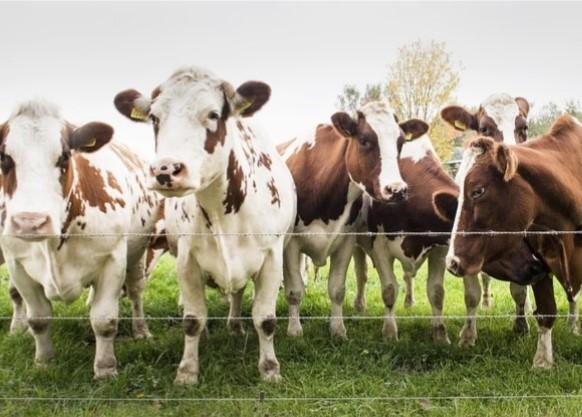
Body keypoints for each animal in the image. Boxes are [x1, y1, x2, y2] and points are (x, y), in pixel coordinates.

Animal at [0, 100, 162, 376]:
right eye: (4, 157)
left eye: (65, 156)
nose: (30, 222)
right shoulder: (17, 264)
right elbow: (38, 318)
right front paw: (44, 360)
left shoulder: (113, 259)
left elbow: (104, 320)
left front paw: (105, 368)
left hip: (138, 252)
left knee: (136, 292)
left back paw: (141, 331)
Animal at [114, 66, 296, 384]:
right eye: (154, 118)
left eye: (212, 114)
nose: (165, 169)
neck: (222, 210)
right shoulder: (187, 259)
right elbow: (192, 319)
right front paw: (187, 370)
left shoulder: (272, 257)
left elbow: (265, 319)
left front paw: (270, 368)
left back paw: (235, 325)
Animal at [280, 102, 426, 340]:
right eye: (364, 140)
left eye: (401, 143)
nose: (397, 190)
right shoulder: (291, 243)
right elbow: (294, 290)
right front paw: (294, 330)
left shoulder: (346, 240)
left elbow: (337, 289)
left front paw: (338, 329)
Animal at [356, 132, 456, 342]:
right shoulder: (380, 246)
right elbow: (389, 290)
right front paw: (389, 333)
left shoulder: (440, 249)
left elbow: (436, 292)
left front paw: (440, 334)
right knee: (361, 273)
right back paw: (359, 304)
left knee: (407, 275)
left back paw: (409, 301)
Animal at [442, 92, 540, 342]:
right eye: (484, 128)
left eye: (523, 127)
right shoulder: (462, 244)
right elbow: (471, 293)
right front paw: (468, 335)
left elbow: (519, 290)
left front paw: (521, 325)